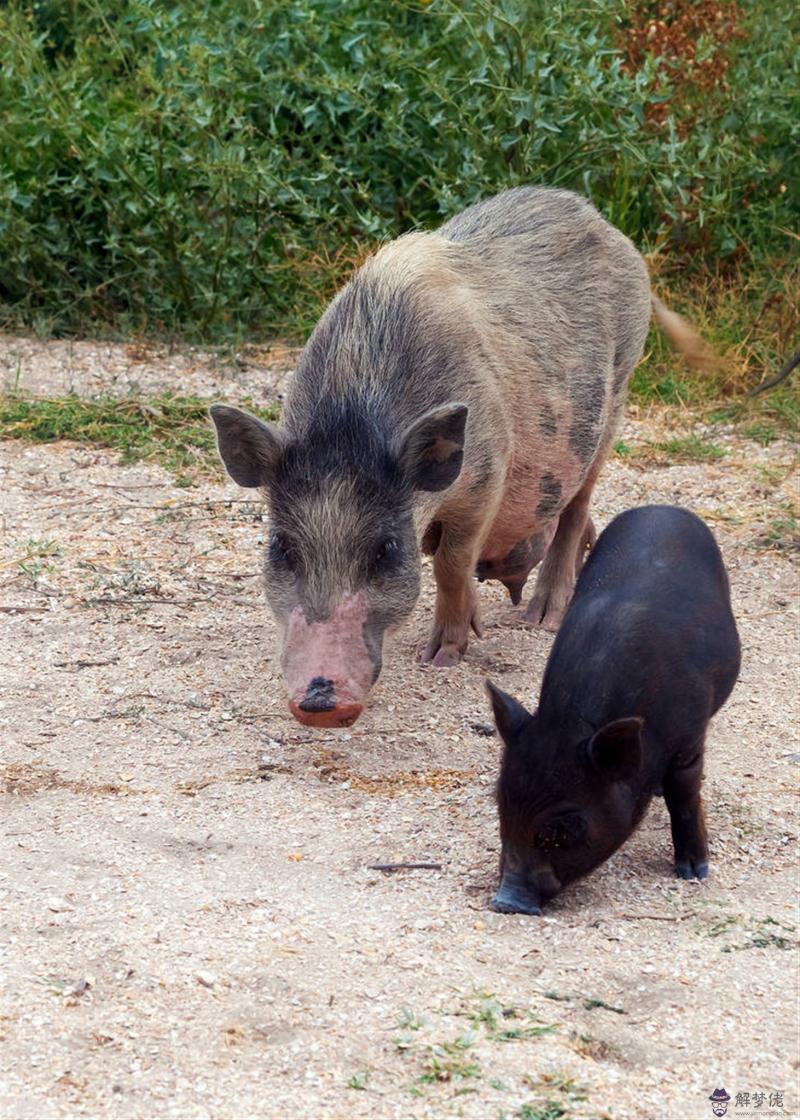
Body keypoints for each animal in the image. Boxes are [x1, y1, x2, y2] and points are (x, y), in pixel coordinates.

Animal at [208, 185, 699, 725]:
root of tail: (605, 225)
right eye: (281, 547)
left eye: (386, 550)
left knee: (576, 507)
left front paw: (442, 657)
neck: (353, 417)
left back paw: (542, 618)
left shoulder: (488, 473)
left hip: (618, 395)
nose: (319, 702)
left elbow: (450, 562)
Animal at [484, 504, 739, 913]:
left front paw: (694, 873)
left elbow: (684, 794)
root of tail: (662, 507)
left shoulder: (689, 738)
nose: (507, 901)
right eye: (501, 803)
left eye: (567, 827)